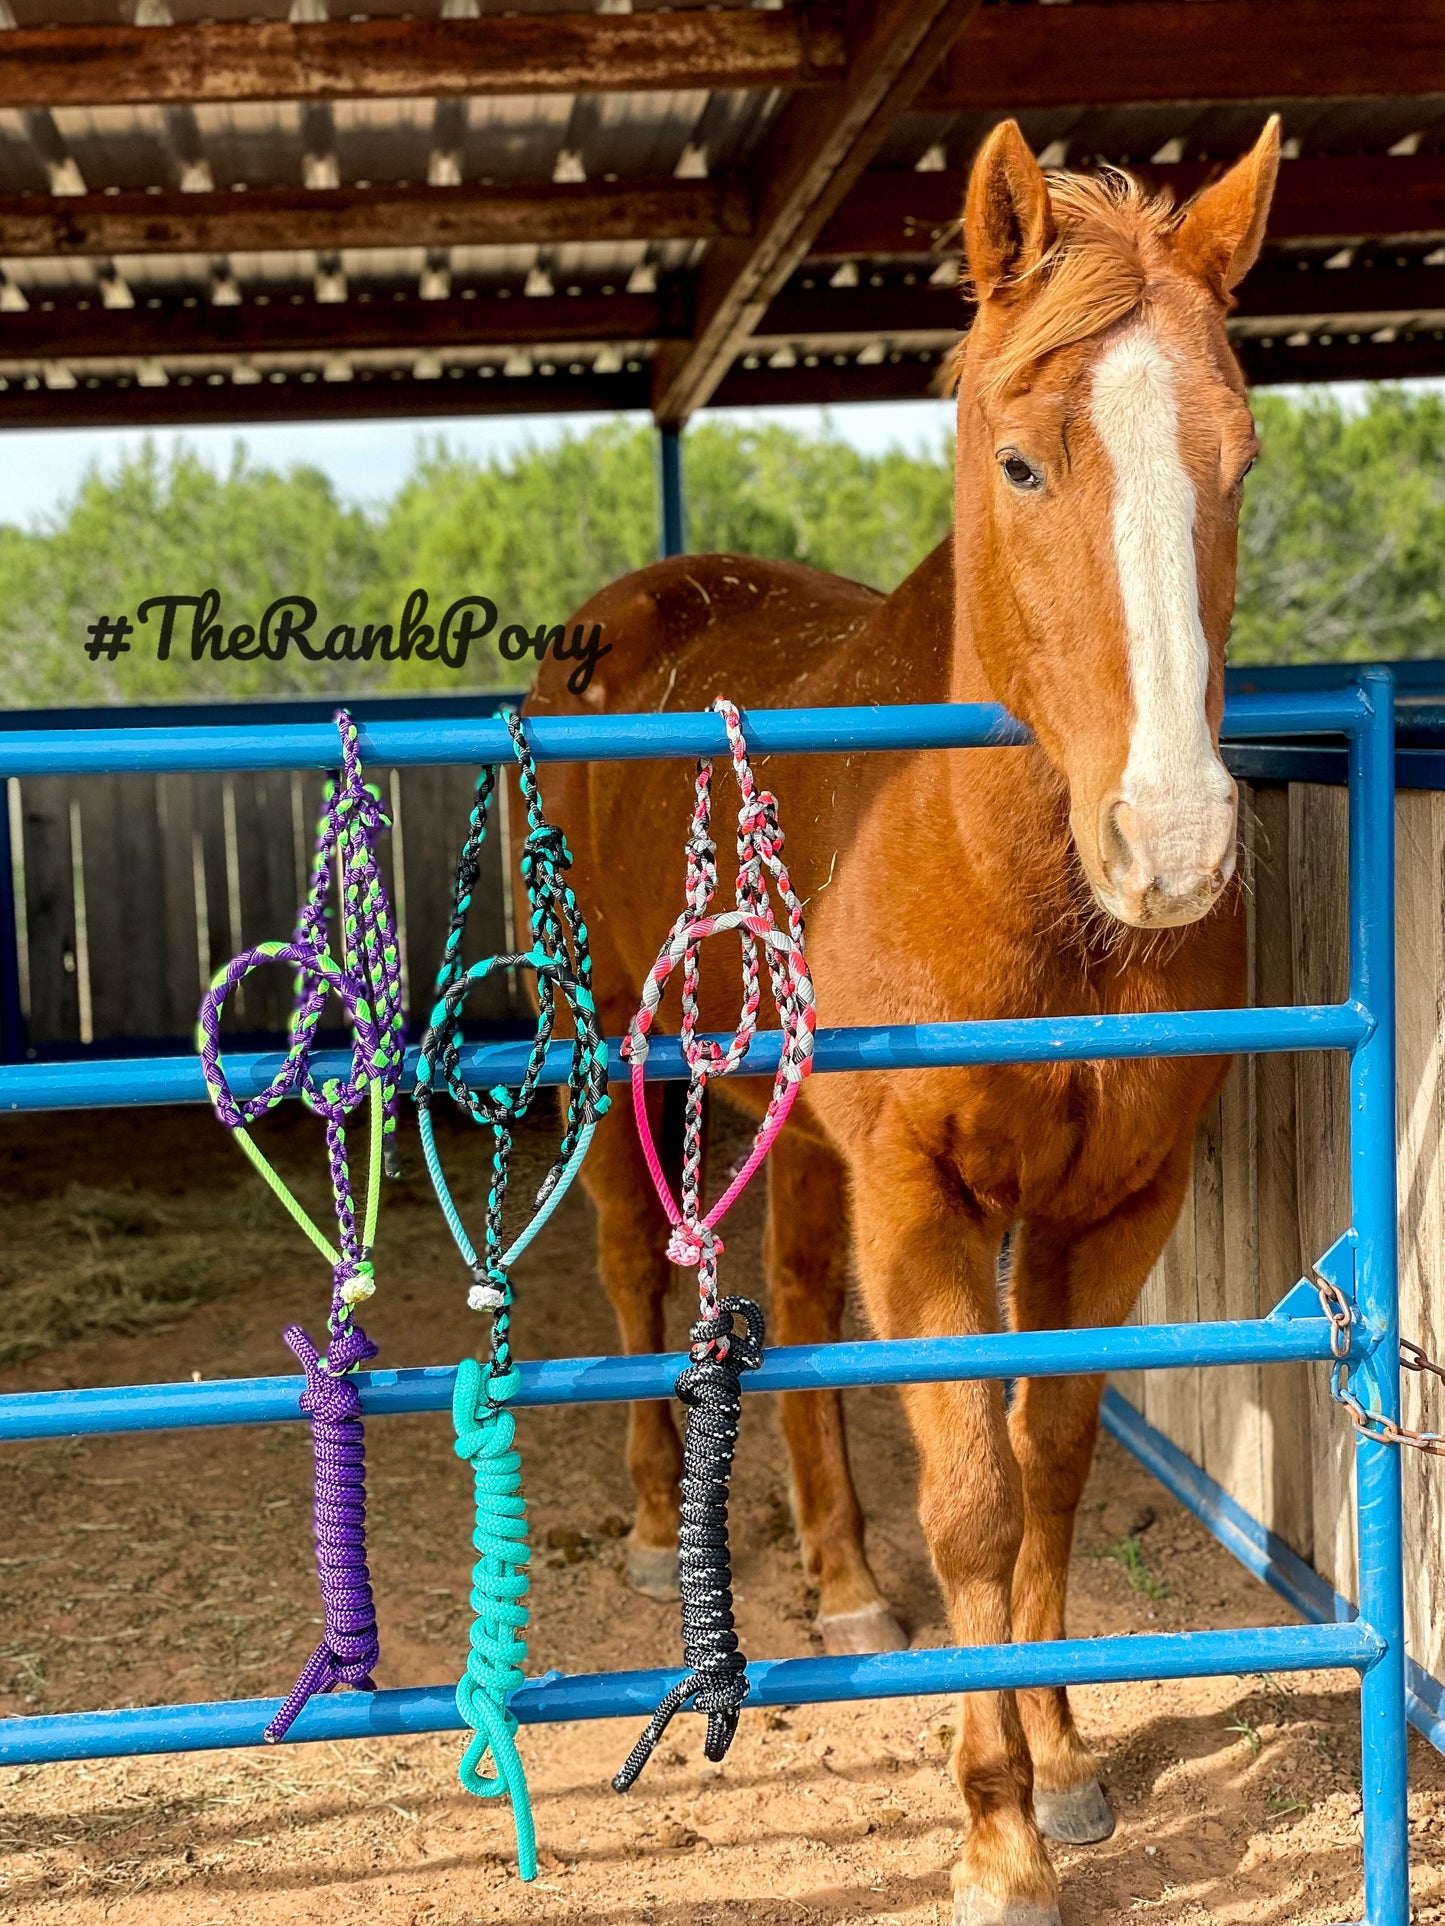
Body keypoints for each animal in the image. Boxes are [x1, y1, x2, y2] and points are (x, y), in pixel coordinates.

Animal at [527, 124, 1279, 1926]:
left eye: (1239, 460)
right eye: (1019, 464)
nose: (1171, 844)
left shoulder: (1110, 1205)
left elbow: (1048, 1462)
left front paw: (1065, 1761)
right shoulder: (923, 1207)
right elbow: (974, 1498)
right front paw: (997, 1829)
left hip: (800, 1140)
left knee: (794, 1303)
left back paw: (844, 1581)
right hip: (615, 1083)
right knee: (632, 1275)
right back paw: (660, 1532)